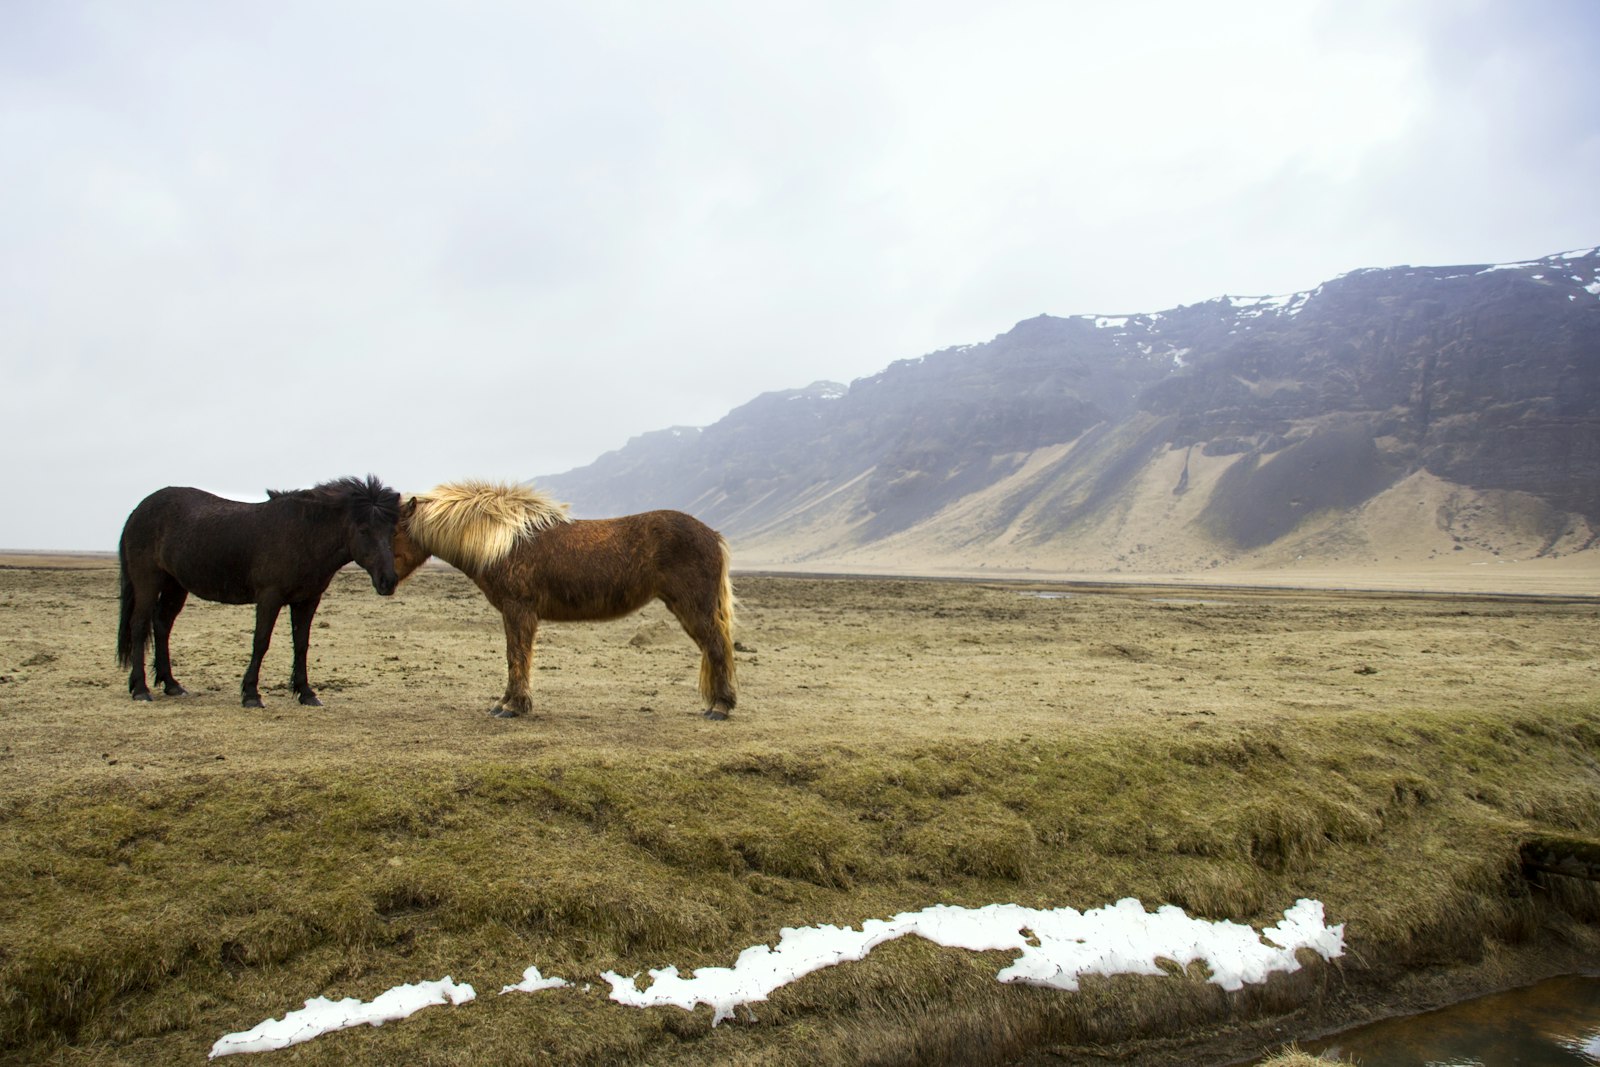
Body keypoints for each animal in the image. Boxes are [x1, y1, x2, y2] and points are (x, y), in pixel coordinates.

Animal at [116, 476, 403, 710]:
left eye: (391, 531)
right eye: (364, 530)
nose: (388, 581)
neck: (304, 535)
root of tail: (138, 511)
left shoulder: (307, 601)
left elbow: (302, 644)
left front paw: (306, 693)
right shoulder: (269, 598)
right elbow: (261, 642)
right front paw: (251, 694)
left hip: (175, 585)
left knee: (162, 625)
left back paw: (171, 684)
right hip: (148, 581)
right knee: (139, 626)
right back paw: (140, 689)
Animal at [390, 483, 739, 716]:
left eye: (394, 532)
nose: (385, 582)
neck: (505, 543)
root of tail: (713, 536)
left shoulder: (519, 610)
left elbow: (517, 655)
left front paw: (514, 706)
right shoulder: (513, 613)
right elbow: (513, 656)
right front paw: (505, 702)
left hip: (694, 607)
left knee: (716, 646)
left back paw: (721, 707)